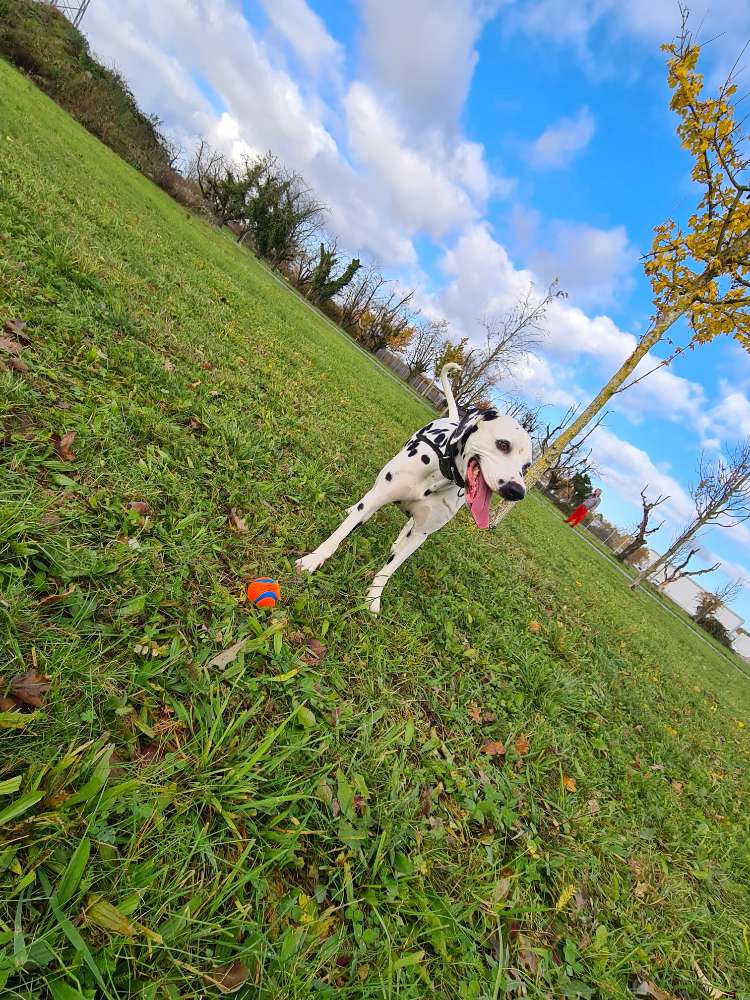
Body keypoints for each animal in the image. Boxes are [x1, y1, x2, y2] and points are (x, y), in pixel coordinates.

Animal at [296, 364, 532, 612]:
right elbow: (339, 535)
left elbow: (389, 569)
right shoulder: (377, 498)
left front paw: (373, 598)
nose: (517, 491)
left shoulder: (420, 535)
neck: (439, 474)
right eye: (503, 444)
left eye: (526, 466)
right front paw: (312, 560)